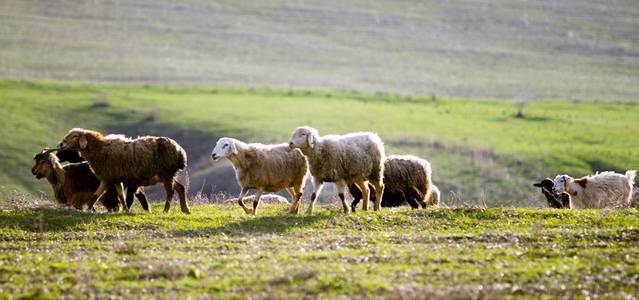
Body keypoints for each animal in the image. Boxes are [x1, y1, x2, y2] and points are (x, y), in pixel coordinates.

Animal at [57, 127, 190, 214]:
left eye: (75, 136)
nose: (60, 144)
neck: (100, 149)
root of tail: (180, 152)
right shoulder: (109, 178)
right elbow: (98, 195)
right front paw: (89, 209)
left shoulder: (113, 177)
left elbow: (119, 196)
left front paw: (125, 210)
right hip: (167, 175)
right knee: (180, 188)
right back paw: (185, 209)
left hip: (167, 173)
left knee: (170, 192)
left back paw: (166, 210)